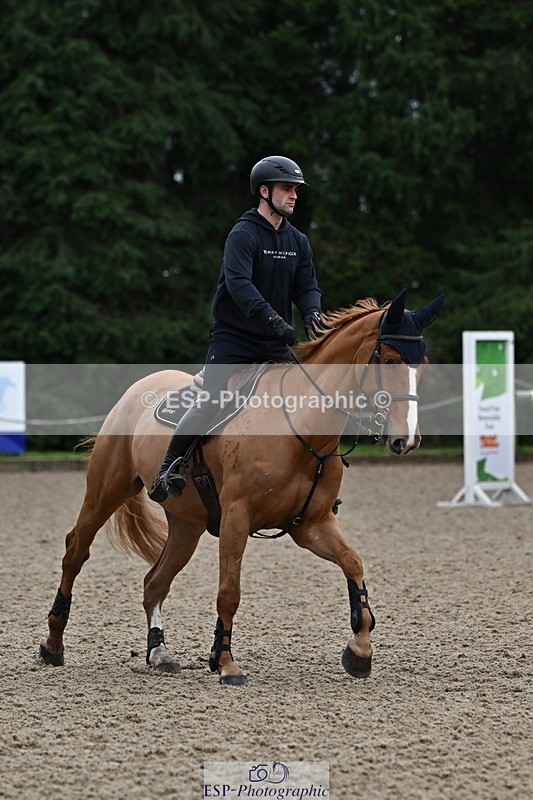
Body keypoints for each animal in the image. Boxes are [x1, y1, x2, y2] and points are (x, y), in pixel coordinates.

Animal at [39, 288, 444, 685]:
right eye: (389, 361)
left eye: (422, 363)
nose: (406, 440)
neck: (300, 427)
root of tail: (138, 387)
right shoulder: (236, 518)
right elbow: (229, 592)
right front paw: (226, 663)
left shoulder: (312, 526)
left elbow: (353, 563)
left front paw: (359, 650)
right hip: (105, 493)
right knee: (76, 551)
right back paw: (53, 644)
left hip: (187, 525)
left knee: (154, 581)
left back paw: (159, 652)